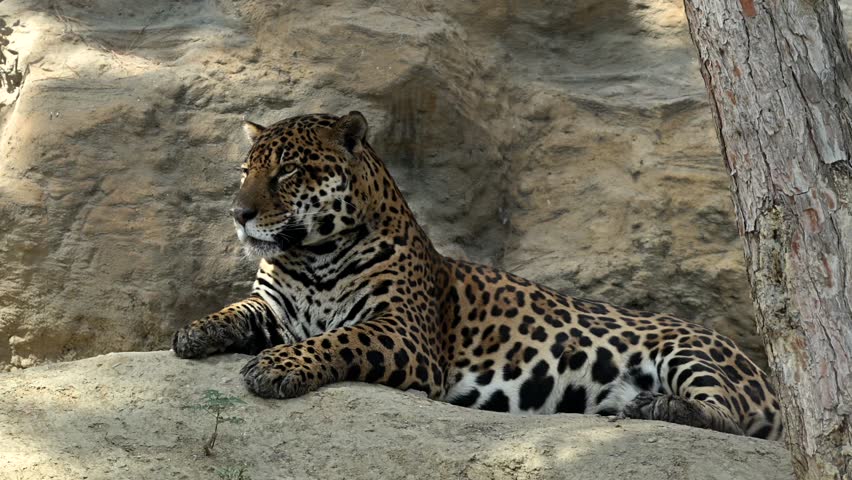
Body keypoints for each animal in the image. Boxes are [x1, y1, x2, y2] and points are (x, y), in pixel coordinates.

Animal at [172, 111, 783, 440]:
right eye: (246, 171)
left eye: (289, 172)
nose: (238, 213)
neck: (311, 255)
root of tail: (766, 373)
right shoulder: (274, 308)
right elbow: (236, 310)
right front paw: (194, 331)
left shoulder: (404, 334)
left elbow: (338, 339)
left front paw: (276, 366)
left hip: (691, 352)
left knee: (730, 418)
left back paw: (659, 406)